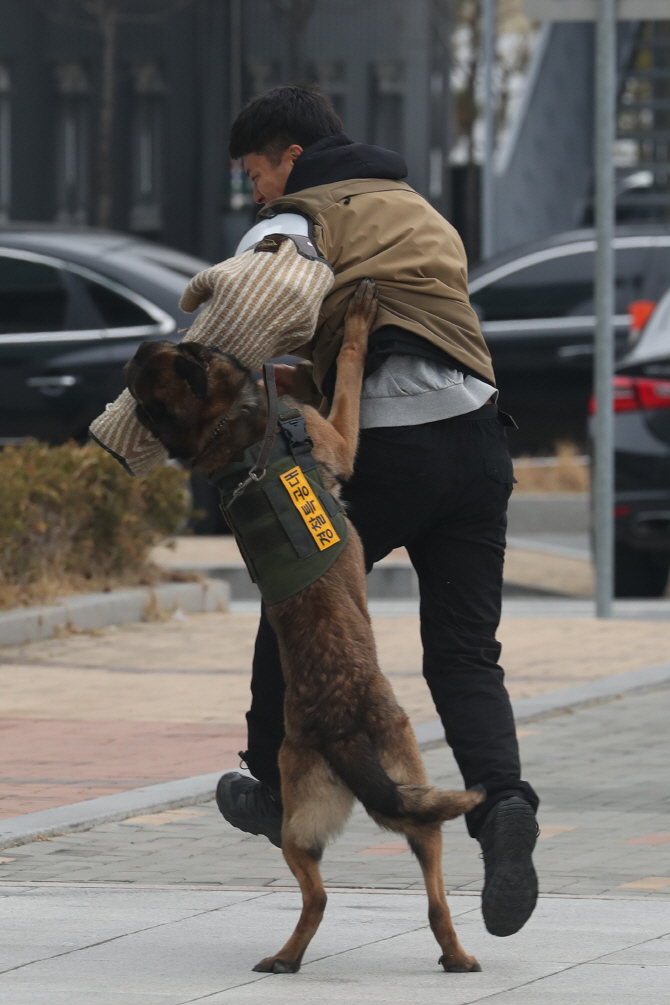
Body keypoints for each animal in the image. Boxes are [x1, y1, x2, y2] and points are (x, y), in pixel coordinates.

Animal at [124, 279, 482, 976]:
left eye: (171, 351)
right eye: (189, 350)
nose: (142, 340)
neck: (224, 425)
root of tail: (339, 726)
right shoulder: (338, 437)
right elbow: (348, 371)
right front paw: (354, 328)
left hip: (351, 813)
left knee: (417, 888)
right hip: (354, 797)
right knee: (329, 896)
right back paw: (292, 956)